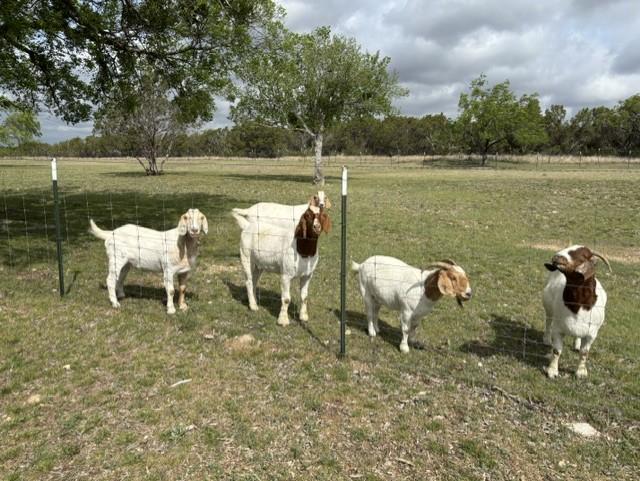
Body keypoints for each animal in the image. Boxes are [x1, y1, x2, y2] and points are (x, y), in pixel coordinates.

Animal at [542, 245, 611, 378]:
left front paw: (581, 372)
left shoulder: (591, 334)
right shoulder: (558, 329)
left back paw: (577, 345)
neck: (578, 305)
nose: (557, 257)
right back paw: (547, 340)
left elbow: (584, 353)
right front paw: (552, 371)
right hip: (548, 308)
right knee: (548, 322)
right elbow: (557, 350)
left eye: (583, 255)